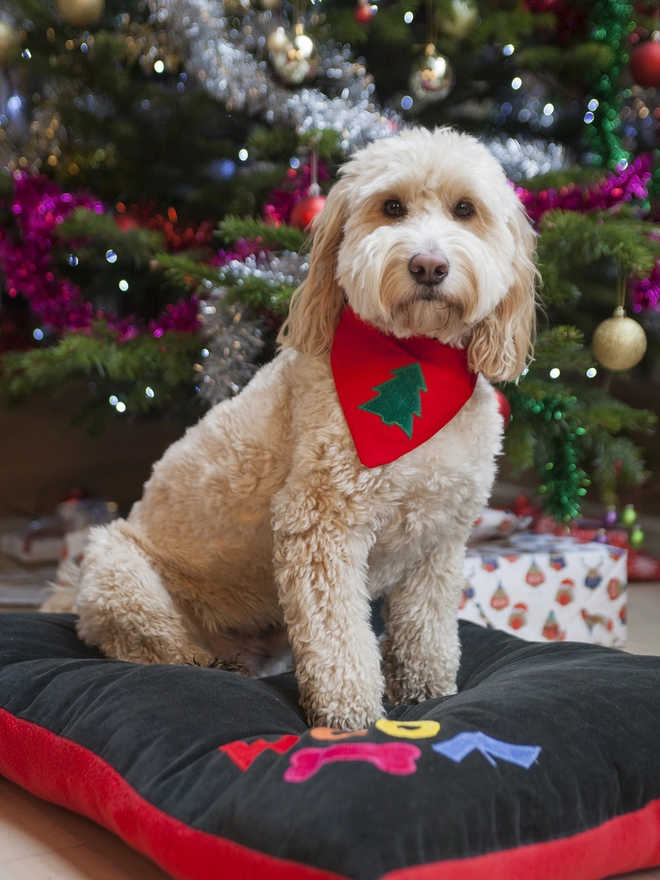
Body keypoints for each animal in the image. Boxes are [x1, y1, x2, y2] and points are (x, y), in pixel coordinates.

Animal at [71, 124, 536, 728]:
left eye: (465, 210)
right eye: (392, 207)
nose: (429, 266)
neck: (417, 357)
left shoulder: (437, 541)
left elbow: (426, 630)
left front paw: (426, 692)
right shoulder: (320, 525)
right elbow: (337, 634)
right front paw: (350, 713)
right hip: (118, 570)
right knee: (156, 648)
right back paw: (212, 664)